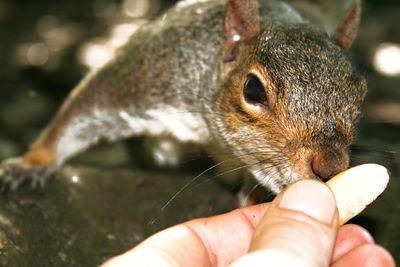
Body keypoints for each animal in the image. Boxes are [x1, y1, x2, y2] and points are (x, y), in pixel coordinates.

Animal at [0, 0, 366, 197]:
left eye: (360, 97)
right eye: (253, 89)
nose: (330, 167)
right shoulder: (153, 74)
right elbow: (82, 110)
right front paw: (31, 164)